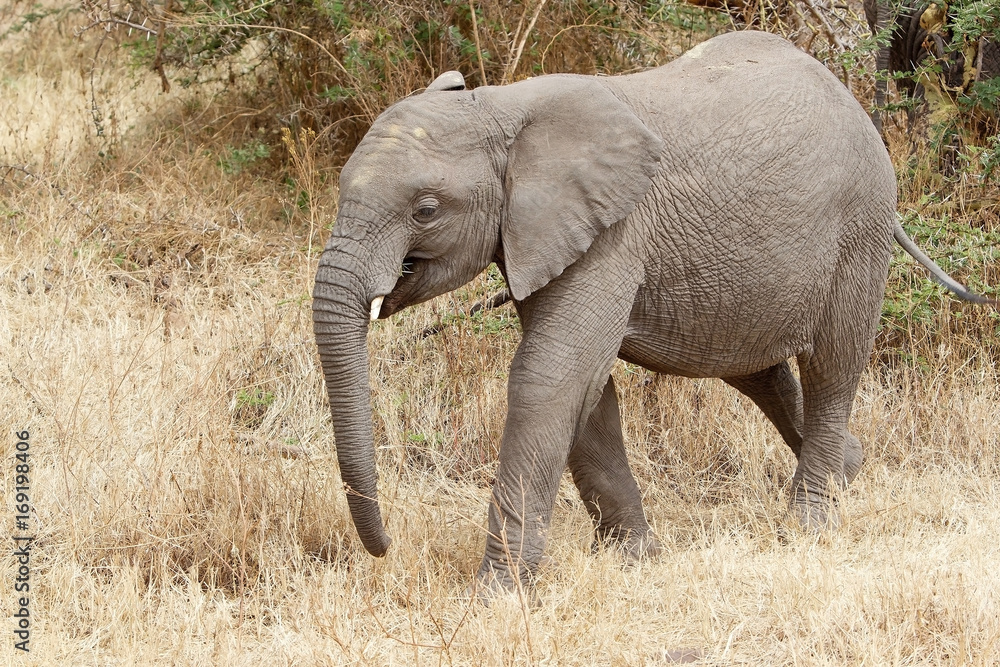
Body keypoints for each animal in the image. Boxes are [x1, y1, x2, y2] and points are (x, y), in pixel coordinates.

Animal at [312, 30, 992, 596]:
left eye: (426, 210)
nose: (386, 546)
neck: (500, 106)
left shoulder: (615, 230)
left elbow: (549, 377)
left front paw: (496, 598)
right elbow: (587, 389)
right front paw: (638, 559)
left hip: (860, 226)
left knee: (833, 364)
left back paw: (808, 525)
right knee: (754, 370)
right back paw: (851, 470)